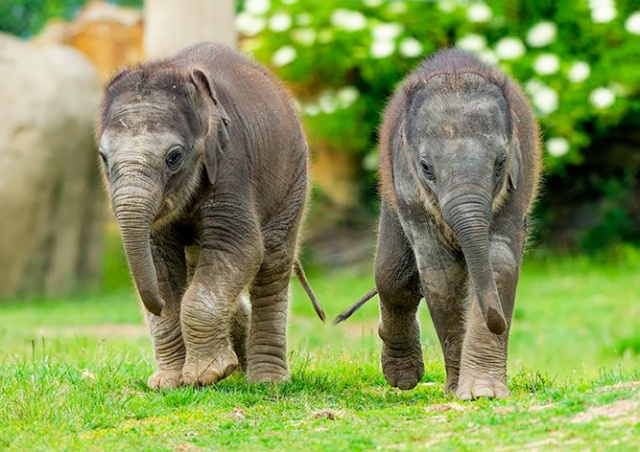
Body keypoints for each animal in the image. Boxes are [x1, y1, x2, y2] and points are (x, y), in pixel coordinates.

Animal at [96, 41, 324, 388]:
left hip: (293, 180)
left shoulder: (231, 165)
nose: (156, 304)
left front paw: (207, 374)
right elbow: (160, 259)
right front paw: (167, 383)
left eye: (174, 157)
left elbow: (240, 247)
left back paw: (267, 381)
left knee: (272, 262)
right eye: (103, 157)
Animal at [338, 49, 544, 400]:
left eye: (500, 163)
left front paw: (482, 392)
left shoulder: (518, 183)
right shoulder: (408, 186)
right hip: (391, 200)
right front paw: (459, 390)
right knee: (394, 276)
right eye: (426, 167)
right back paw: (402, 377)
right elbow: (441, 274)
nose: (500, 322)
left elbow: (500, 262)